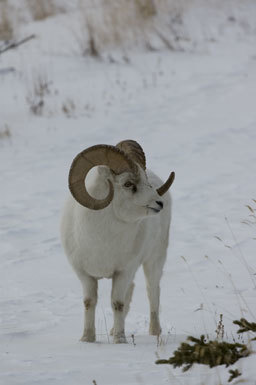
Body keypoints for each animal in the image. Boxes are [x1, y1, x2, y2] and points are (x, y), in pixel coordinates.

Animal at [61, 140, 175, 342]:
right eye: (128, 184)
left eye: (145, 180)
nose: (159, 203)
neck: (101, 241)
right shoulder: (85, 275)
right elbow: (89, 302)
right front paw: (87, 339)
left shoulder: (123, 272)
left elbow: (117, 303)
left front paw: (120, 340)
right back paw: (114, 330)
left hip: (154, 260)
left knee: (152, 291)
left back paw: (154, 332)